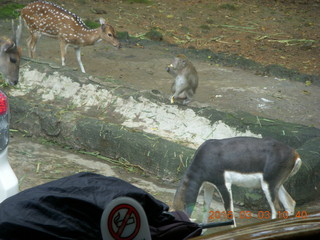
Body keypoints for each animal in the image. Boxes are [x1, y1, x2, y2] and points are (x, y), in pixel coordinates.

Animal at [174, 137, 302, 227]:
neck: (205, 157)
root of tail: (295, 154)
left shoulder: (224, 185)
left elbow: (230, 215)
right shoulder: (208, 186)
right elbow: (206, 212)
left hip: (268, 186)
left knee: (277, 210)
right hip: (277, 185)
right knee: (290, 203)